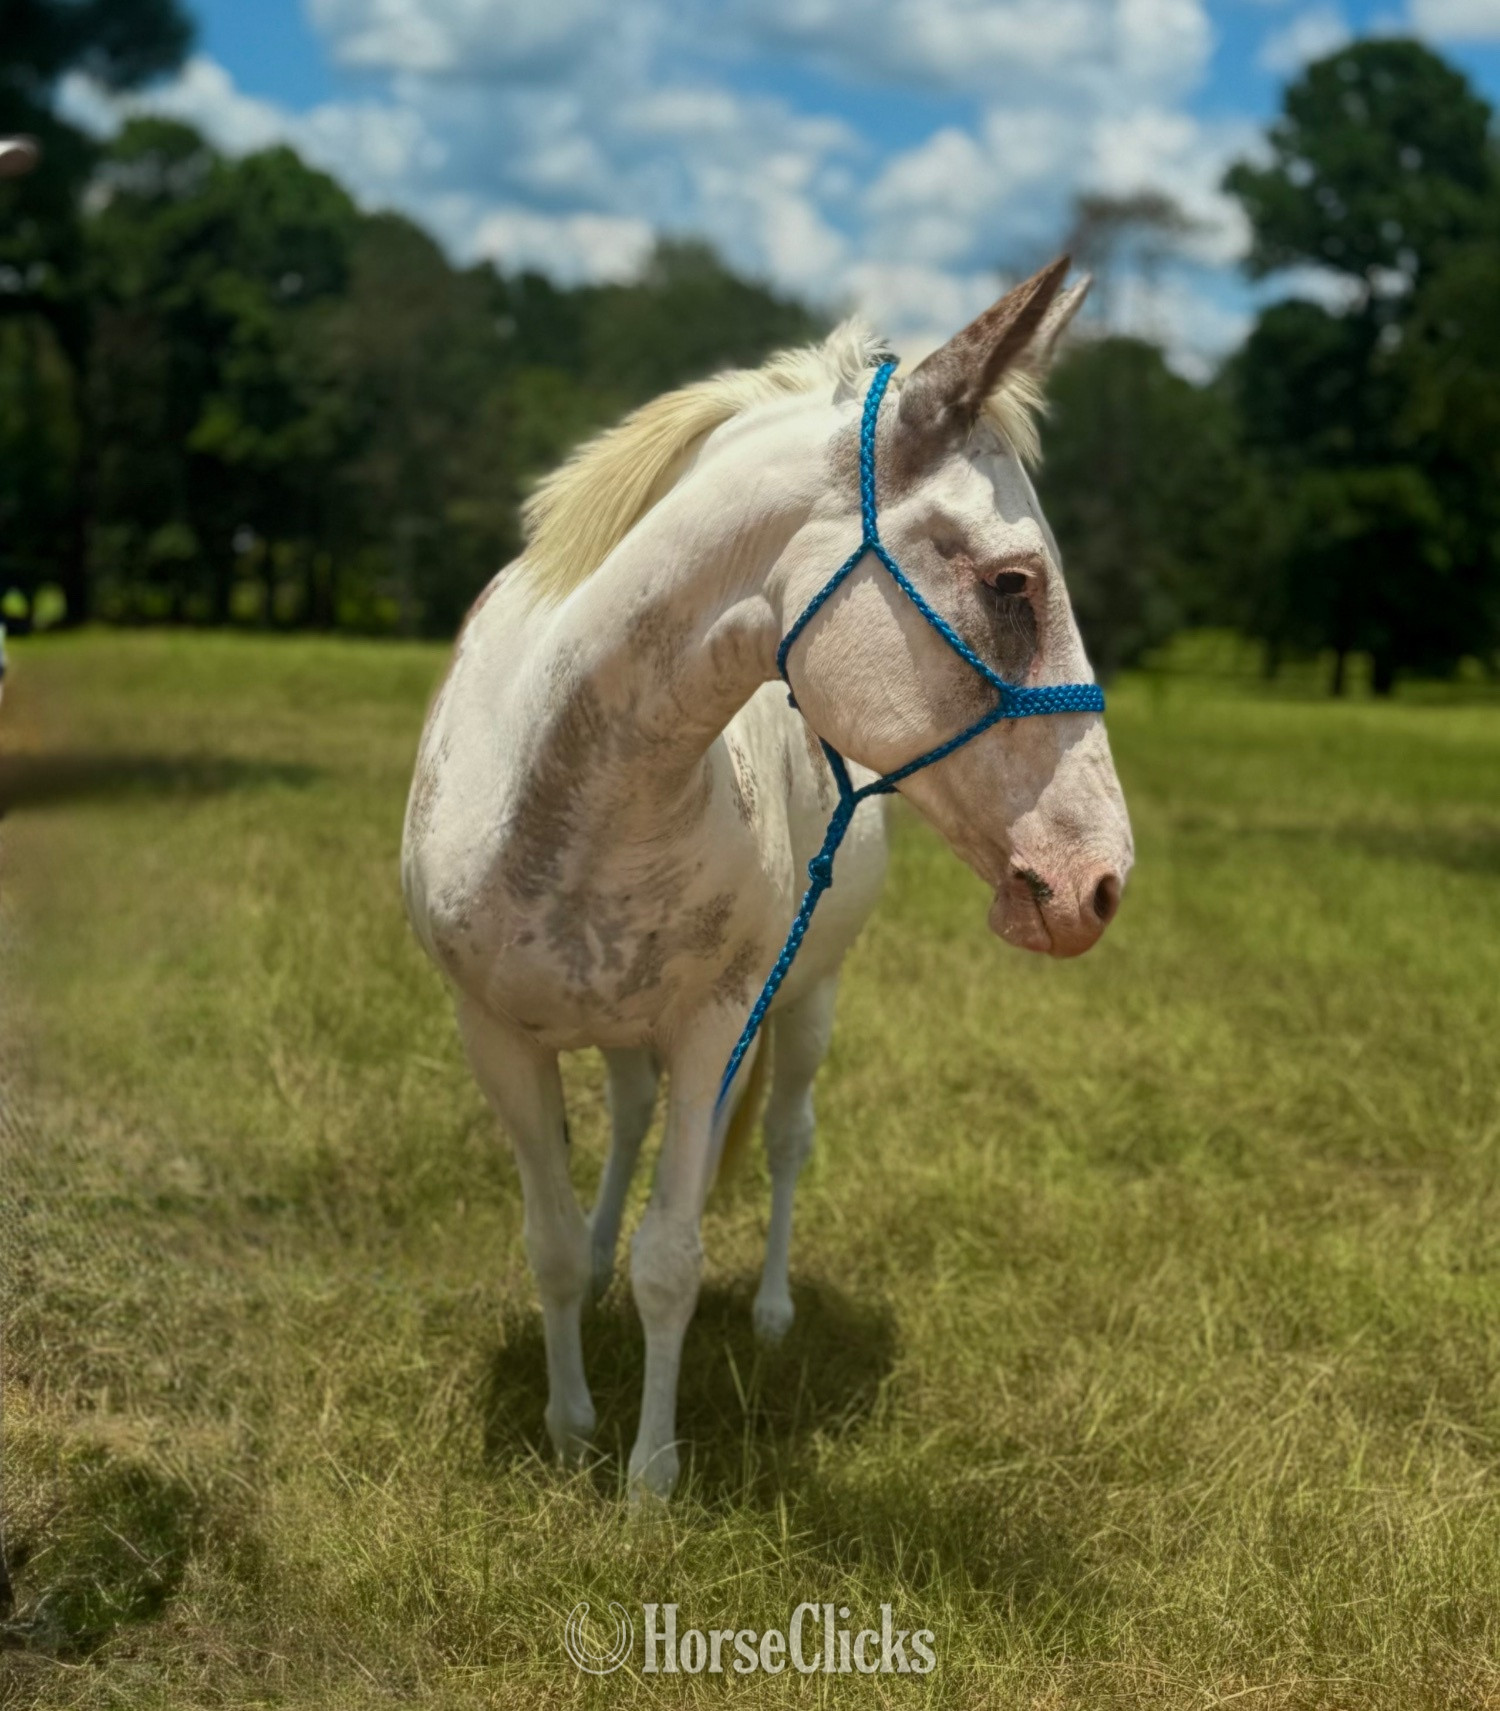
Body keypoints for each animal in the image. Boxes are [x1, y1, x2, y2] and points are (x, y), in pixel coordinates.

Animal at [401, 257, 1134, 1498]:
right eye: (1013, 583)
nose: (1099, 882)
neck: (559, 785)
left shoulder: (714, 1025)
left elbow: (673, 1257)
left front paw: (648, 1477)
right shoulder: (493, 1036)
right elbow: (551, 1246)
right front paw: (568, 1423)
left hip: (807, 1002)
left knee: (786, 1137)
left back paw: (778, 1310)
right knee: (627, 1122)